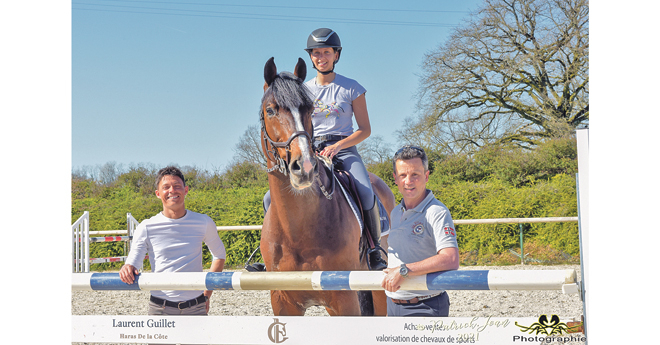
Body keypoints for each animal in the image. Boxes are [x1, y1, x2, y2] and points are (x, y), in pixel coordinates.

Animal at [260, 57, 394, 318]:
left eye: (310, 109)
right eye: (270, 110)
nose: (305, 166)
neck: (298, 230)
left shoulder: (343, 301)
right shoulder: (283, 303)